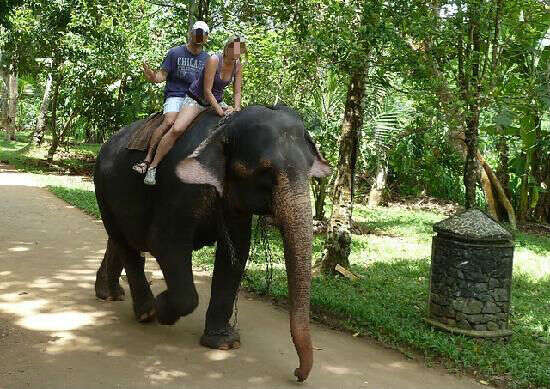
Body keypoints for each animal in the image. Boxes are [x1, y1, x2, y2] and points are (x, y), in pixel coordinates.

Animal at [94, 104, 332, 380]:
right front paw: (164, 308)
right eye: (265, 172)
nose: (297, 372)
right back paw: (146, 311)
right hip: (101, 188)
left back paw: (111, 294)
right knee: (125, 242)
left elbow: (236, 253)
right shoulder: (179, 188)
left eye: (309, 170)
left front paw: (225, 343)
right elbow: (165, 243)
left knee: (120, 240)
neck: (224, 128)